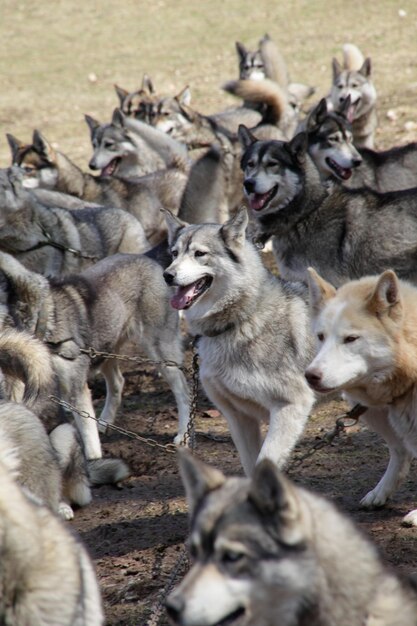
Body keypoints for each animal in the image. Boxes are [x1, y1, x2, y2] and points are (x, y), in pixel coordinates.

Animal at [304, 266, 417, 520]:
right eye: (321, 336)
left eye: (350, 339)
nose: (310, 376)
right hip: (377, 414)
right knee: (400, 451)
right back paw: (380, 493)